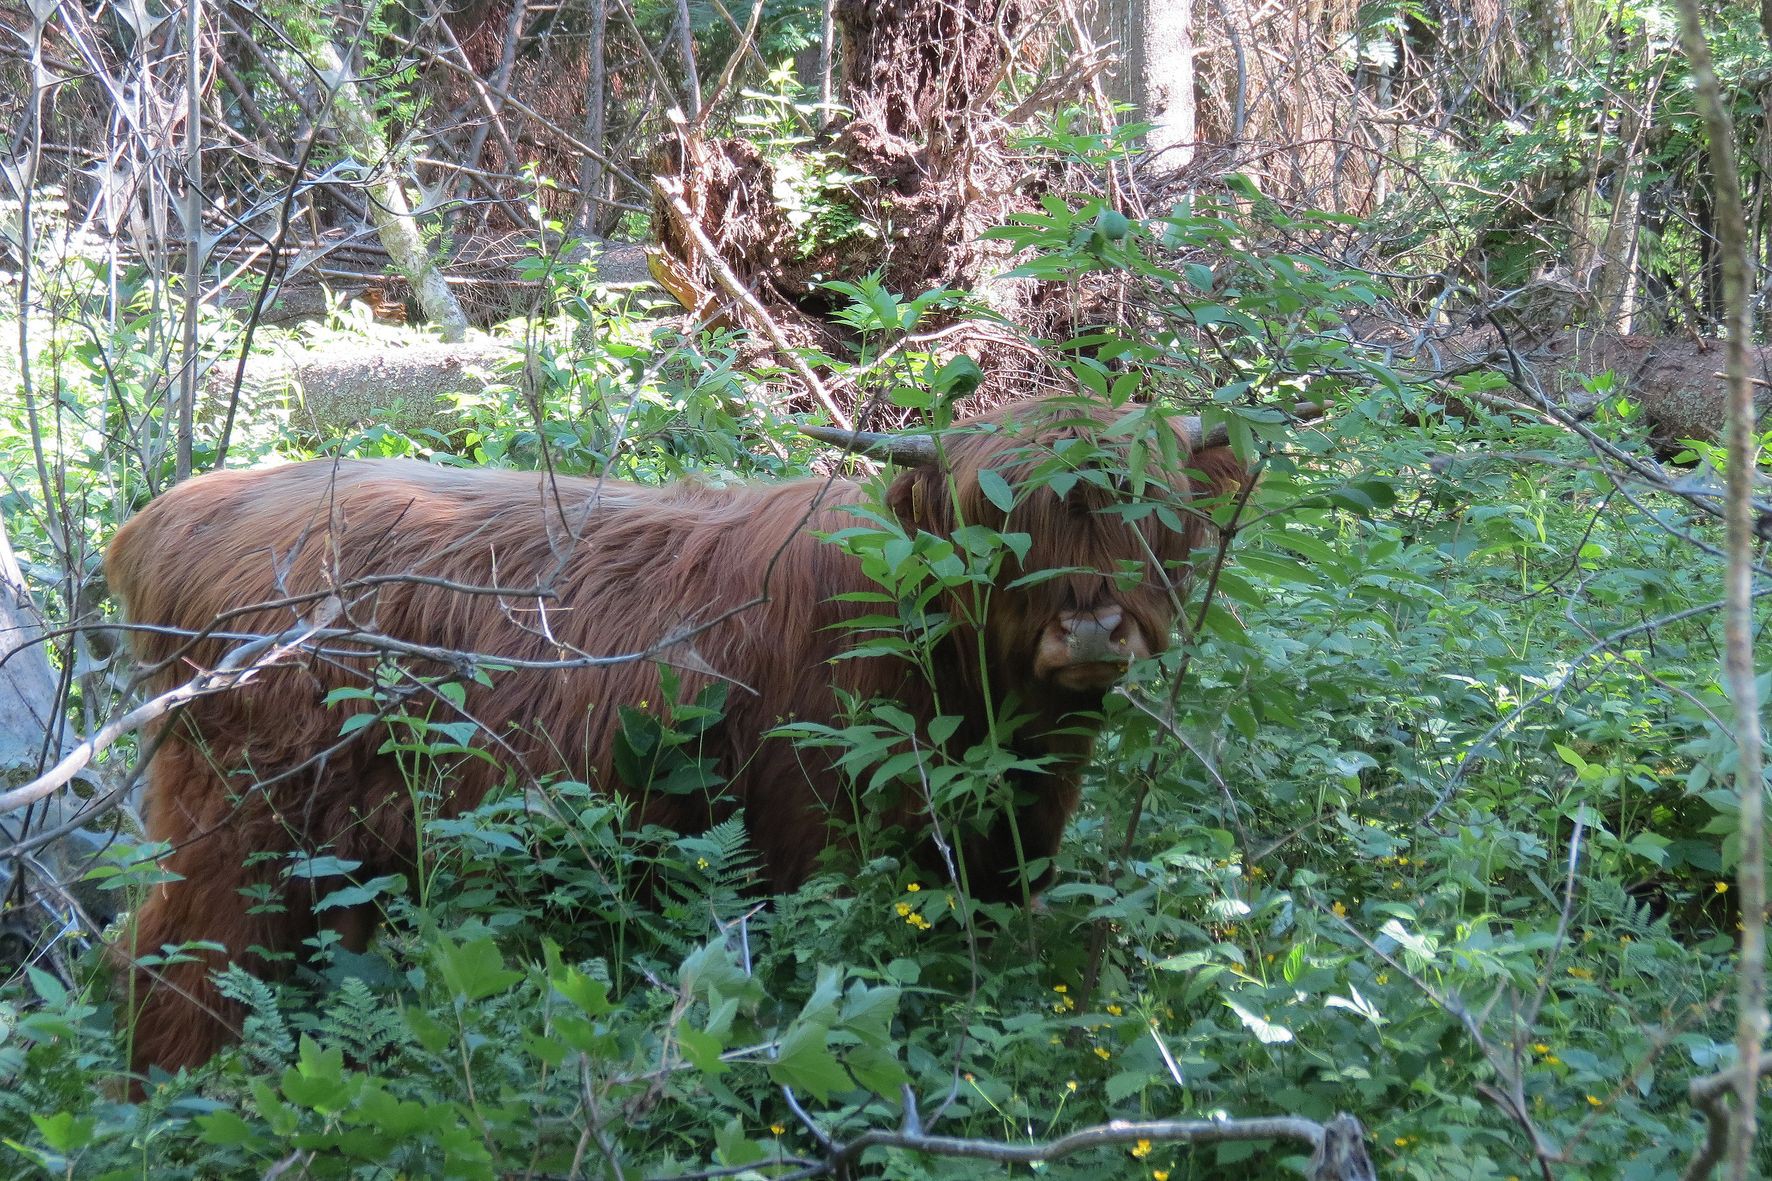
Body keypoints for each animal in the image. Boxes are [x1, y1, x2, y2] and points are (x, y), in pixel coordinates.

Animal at [107, 395, 1247, 1078]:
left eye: (1153, 509)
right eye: (998, 522)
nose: (1092, 629)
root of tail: (178, 509)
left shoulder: (1017, 837)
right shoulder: (811, 830)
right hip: (242, 819)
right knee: (174, 957)